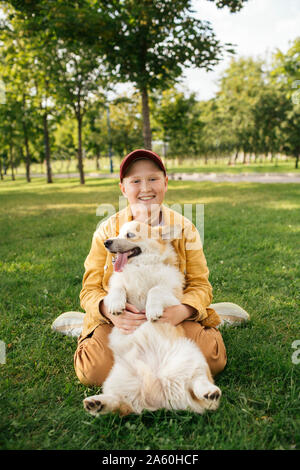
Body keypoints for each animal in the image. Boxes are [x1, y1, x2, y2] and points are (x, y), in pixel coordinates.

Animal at [83, 220, 221, 414]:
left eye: (130, 235)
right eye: (118, 233)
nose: (106, 242)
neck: (140, 266)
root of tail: (161, 395)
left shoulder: (172, 294)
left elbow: (154, 290)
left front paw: (152, 310)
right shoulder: (117, 286)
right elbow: (118, 288)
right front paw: (116, 305)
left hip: (194, 360)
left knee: (199, 384)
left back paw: (210, 392)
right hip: (119, 381)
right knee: (118, 402)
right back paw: (96, 403)